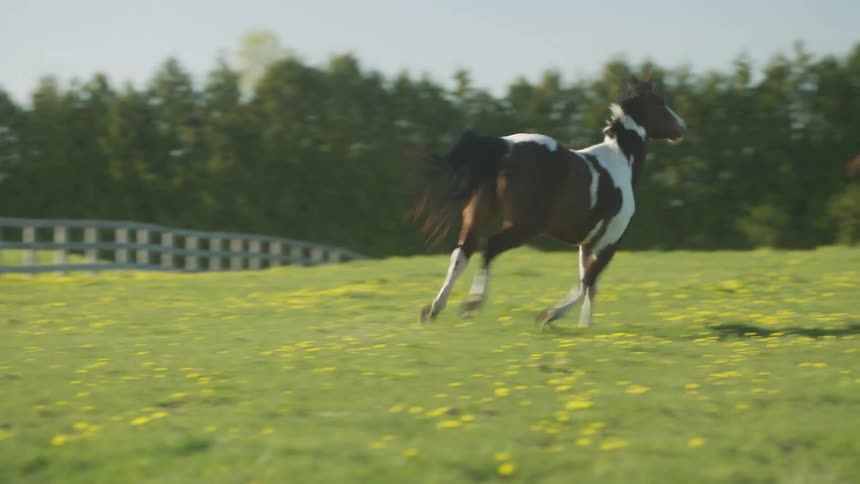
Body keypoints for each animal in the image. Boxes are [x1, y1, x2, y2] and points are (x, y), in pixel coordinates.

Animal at [414, 75, 686, 329]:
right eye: (660, 103)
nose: (681, 127)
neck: (621, 162)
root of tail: (506, 147)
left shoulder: (587, 244)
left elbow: (590, 285)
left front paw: (584, 327)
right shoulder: (610, 242)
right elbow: (586, 282)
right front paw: (550, 316)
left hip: (479, 215)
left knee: (461, 254)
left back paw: (434, 309)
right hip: (526, 226)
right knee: (489, 247)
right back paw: (472, 304)